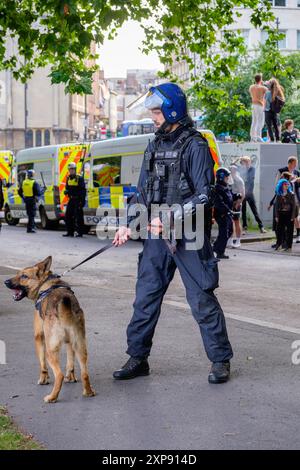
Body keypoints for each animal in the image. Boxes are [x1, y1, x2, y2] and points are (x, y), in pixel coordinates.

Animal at [4, 258, 95, 404]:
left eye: (24, 276)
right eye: (18, 274)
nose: (5, 282)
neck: (45, 284)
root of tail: (64, 305)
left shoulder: (39, 337)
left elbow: (42, 365)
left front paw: (43, 380)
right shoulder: (69, 342)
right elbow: (70, 363)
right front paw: (71, 377)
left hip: (50, 350)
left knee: (59, 374)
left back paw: (52, 397)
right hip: (80, 347)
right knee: (84, 373)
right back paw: (88, 392)